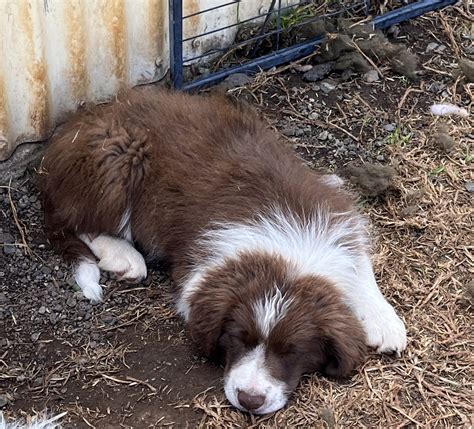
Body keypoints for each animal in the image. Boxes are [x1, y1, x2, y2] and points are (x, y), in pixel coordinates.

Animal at [39, 90, 408, 414]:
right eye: (238, 338)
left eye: (292, 351)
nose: (250, 400)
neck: (288, 254)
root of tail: (74, 125)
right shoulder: (200, 268)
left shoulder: (338, 216)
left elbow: (360, 266)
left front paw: (384, 321)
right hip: (117, 159)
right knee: (78, 220)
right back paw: (122, 255)